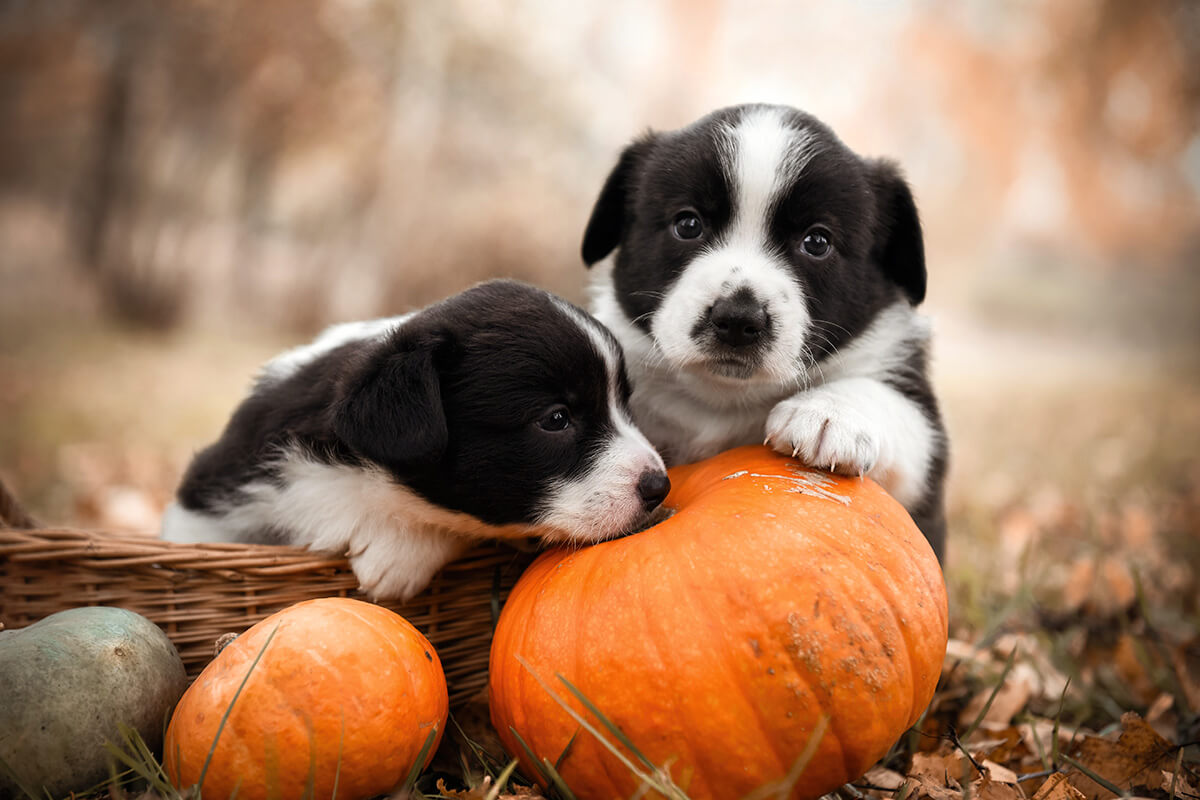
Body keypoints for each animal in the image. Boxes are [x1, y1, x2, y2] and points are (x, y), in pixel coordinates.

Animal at [578, 103, 945, 556]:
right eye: (688, 224)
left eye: (817, 242)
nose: (738, 320)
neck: (724, 399)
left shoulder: (924, 462)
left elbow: (893, 405)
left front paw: (827, 413)